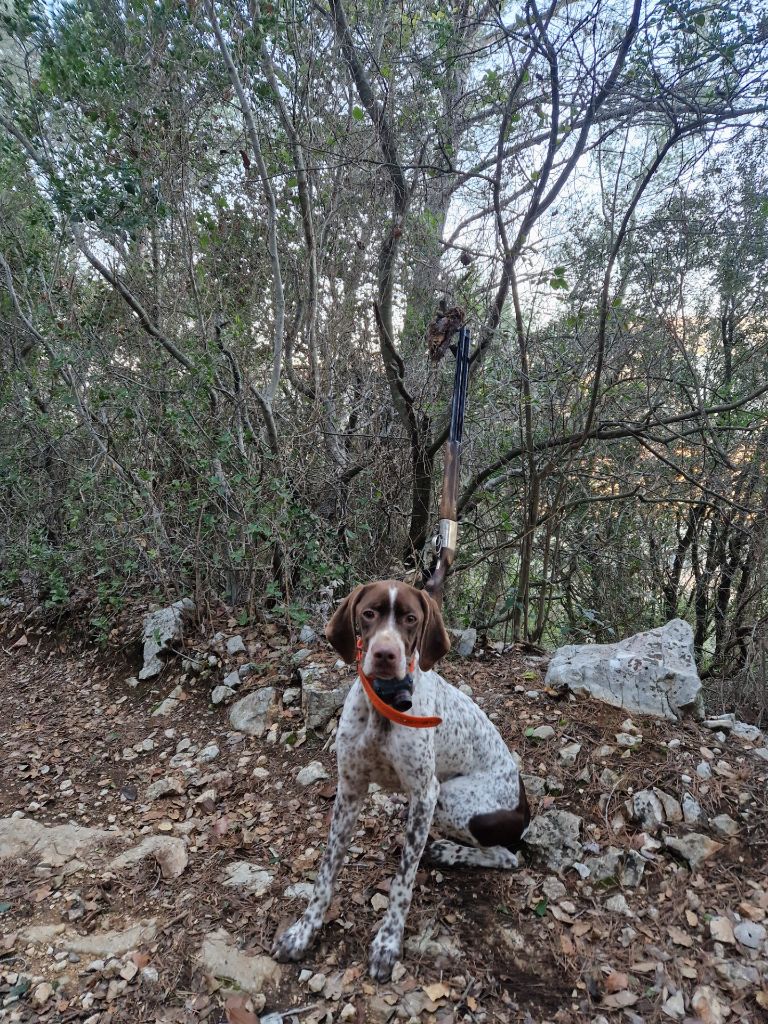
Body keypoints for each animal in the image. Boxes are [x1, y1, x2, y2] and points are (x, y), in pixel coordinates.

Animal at [273, 580, 530, 981]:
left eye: (410, 618)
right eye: (368, 614)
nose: (384, 654)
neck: (386, 704)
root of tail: (525, 806)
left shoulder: (425, 794)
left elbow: (402, 883)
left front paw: (388, 942)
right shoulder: (349, 789)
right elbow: (326, 871)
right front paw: (303, 931)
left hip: (450, 799)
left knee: (506, 856)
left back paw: (449, 851)